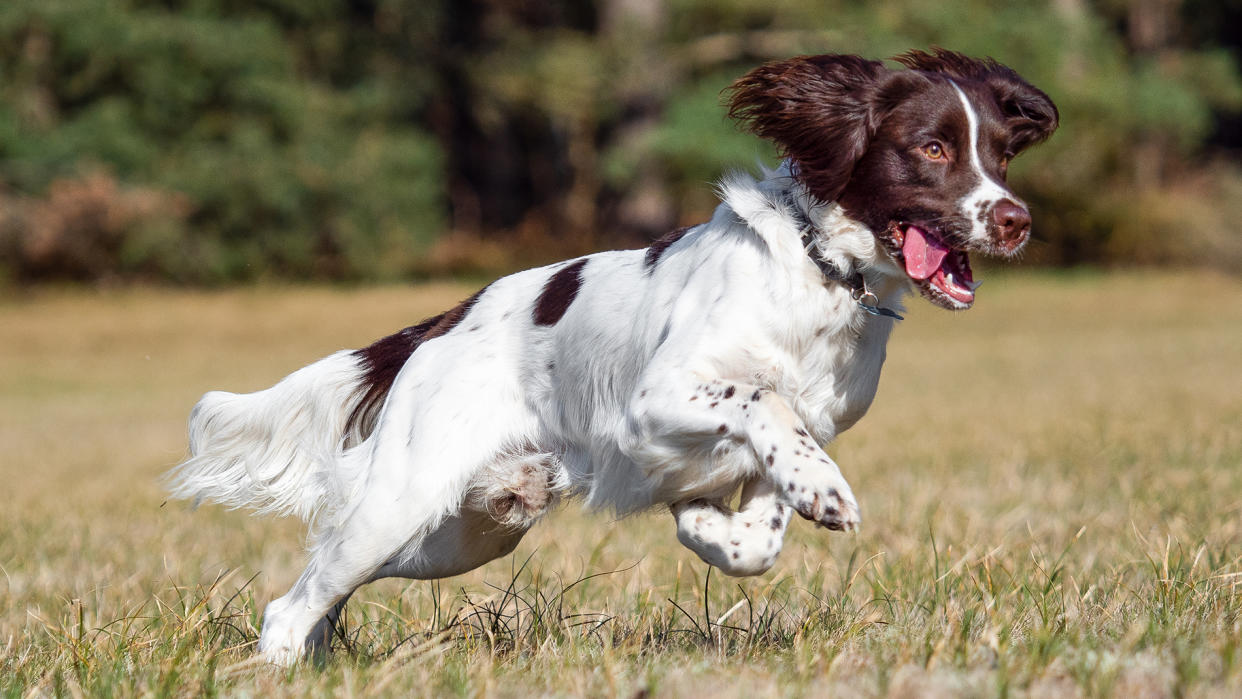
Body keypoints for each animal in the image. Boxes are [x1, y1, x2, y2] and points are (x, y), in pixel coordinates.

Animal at [165, 50, 1058, 665]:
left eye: (1001, 154)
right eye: (932, 149)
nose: (1016, 220)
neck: (819, 277)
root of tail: (447, 322)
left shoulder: (803, 426)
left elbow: (761, 519)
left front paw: (721, 527)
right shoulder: (654, 400)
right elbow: (763, 402)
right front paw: (822, 493)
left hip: (460, 534)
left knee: (323, 582)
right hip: (402, 501)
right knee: (293, 600)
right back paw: (281, 665)